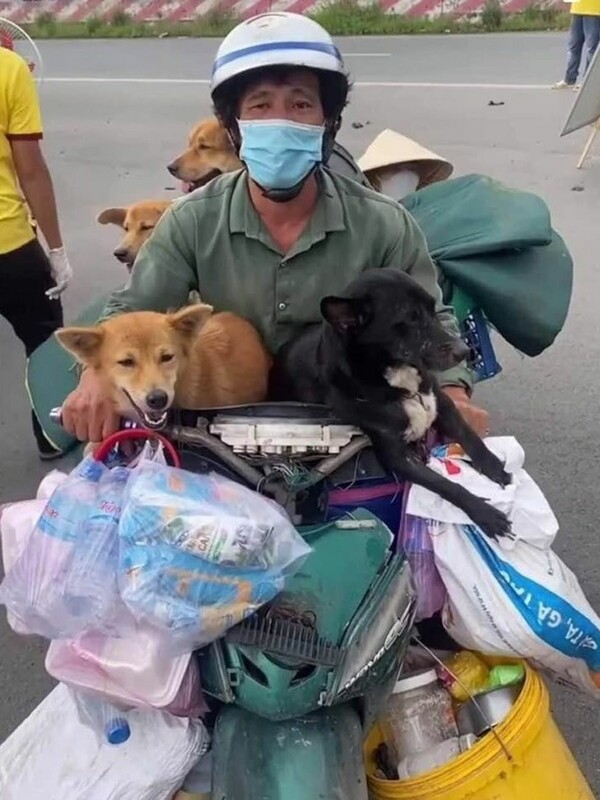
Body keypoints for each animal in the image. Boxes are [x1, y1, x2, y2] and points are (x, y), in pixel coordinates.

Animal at [272, 268, 510, 536]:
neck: (397, 381)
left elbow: (469, 435)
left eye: (433, 308)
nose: (465, 351)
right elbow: (446, 485)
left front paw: (494, 467)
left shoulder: (442, 404)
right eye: (411, 318)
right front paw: (485, 513)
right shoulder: (397, 456)